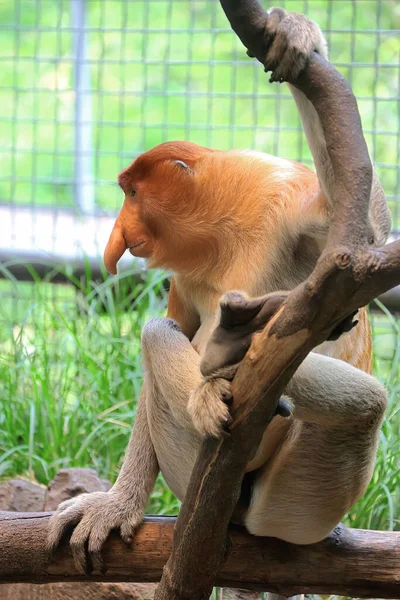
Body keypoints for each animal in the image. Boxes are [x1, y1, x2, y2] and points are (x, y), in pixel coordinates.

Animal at [47, 4, 390, 576]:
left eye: (133, 193)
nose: (117, 237)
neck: (223, 227)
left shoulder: (282, 193)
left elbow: (365, 231)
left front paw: (297, 33)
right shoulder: (185, 278)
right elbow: (177, 324)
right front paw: (115, 505)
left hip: (304, 502)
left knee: (364, 402)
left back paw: (231, 358)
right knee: (161, 332)